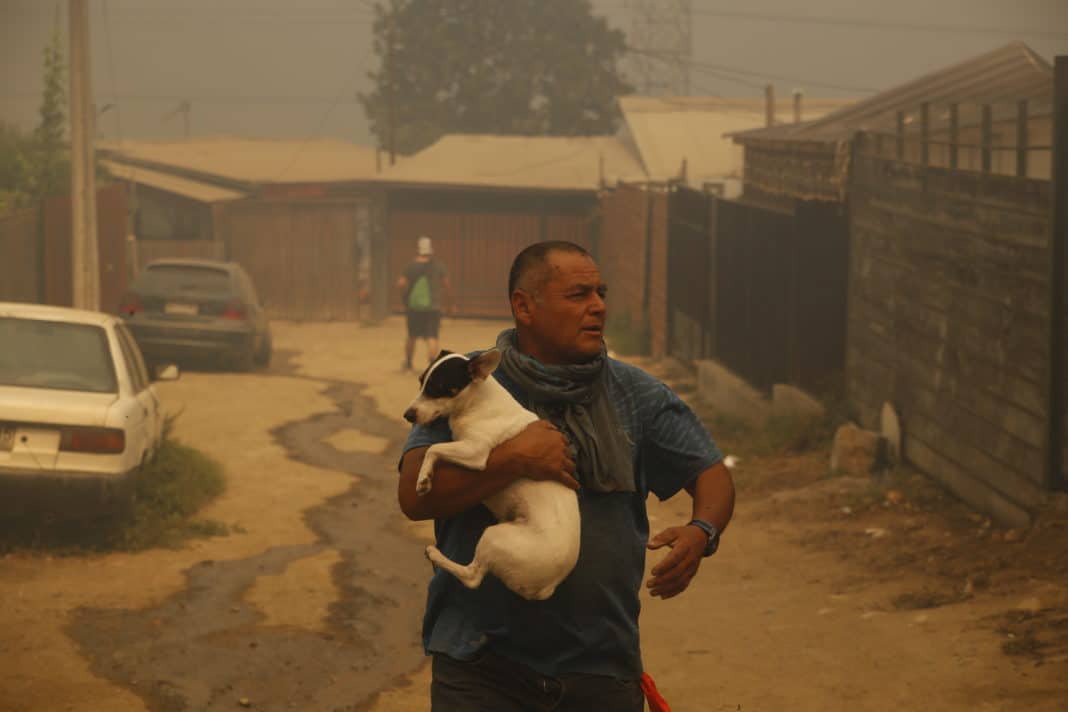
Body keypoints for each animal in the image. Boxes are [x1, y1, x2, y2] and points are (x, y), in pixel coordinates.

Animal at [401, 350, 585, 602]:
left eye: (438, 388)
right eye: (421, 382)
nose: (407, 415)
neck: (476, 402)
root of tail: (548, 587)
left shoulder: (475, 452)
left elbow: (433, 449)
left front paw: (424, 478)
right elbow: (436, 448)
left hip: (494, 537)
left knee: (472, 577)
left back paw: (436, 556)